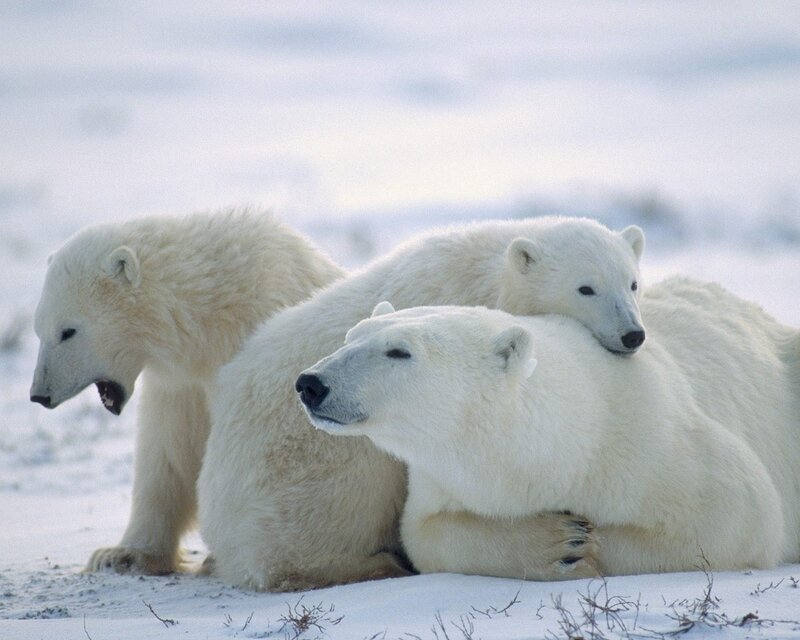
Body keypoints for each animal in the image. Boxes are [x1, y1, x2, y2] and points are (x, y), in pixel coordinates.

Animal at [29, 208, 343, 575]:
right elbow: (168, 453)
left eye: (68, 331)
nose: (39, 394)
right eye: (38, 330)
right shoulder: (180, 385)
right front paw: (121, 554)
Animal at [197, 216, 644, 591]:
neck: (488, 273)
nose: (632, 334)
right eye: (586, 287)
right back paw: (374, 564)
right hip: (301, 468)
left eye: (632, 283)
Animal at [298, 280, 800, 578]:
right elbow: (427, 534)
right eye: (351, 337)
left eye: (399, 351)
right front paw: (561, 544)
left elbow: (741, 516)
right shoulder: (443, 480)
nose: (311, 384)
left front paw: (587, 544)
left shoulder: (657, 446)